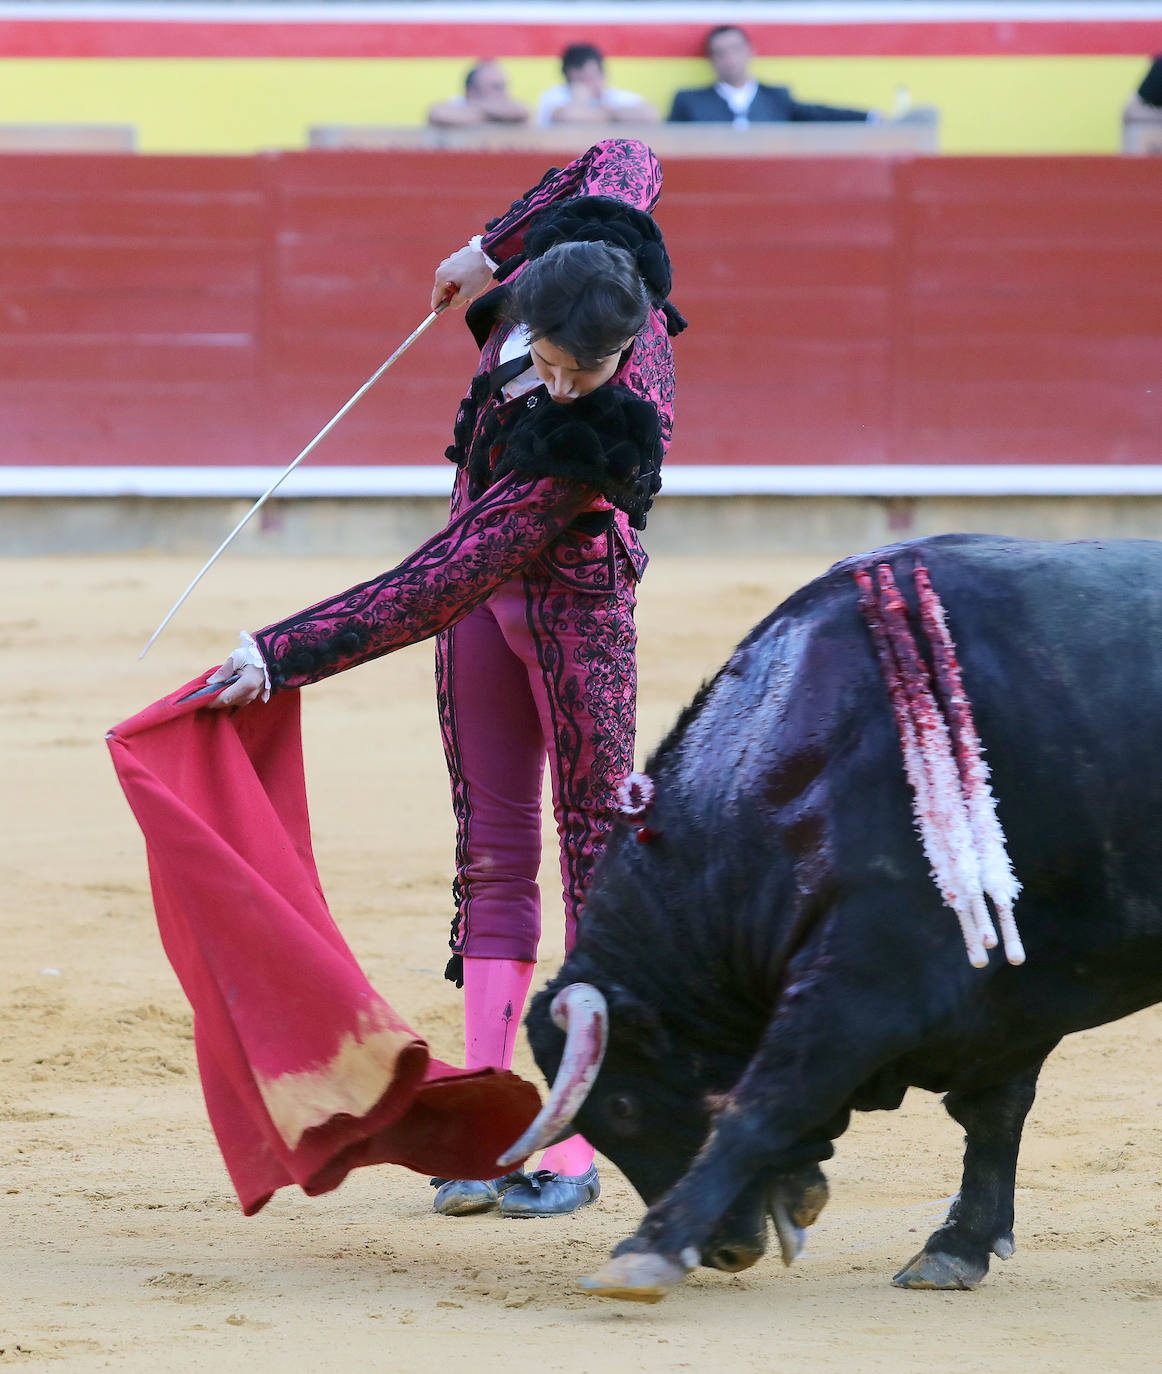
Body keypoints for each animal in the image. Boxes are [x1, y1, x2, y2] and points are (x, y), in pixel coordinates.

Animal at [505, 533, 1162, 1297]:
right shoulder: (1013, 995)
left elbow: (765, 1099)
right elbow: (993, 1111)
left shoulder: (872, 976)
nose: (728, 1251)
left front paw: (650, 1248)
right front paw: (956, 1246)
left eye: (622, 1107)